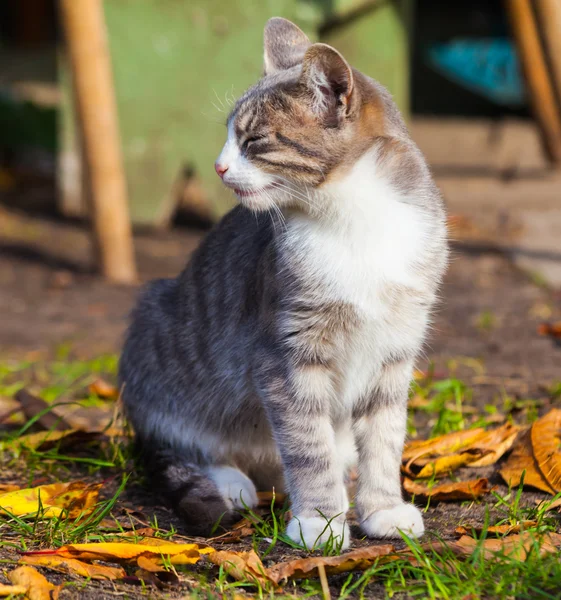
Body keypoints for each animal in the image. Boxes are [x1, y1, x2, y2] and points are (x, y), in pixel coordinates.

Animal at [118, 16, 446, 552]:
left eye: (252, 140)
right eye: (228, 138)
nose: (218, 167)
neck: (353, 219)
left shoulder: (396, 349)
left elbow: (384, 439)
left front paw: (382, 508)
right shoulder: (286, 355)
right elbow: (308, 445)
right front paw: (321, 521)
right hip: (155, 327)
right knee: (187, 440)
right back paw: (229, 481)